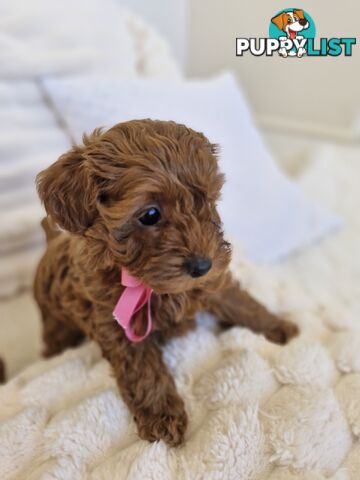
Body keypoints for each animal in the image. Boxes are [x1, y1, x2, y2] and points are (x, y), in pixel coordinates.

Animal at [33, 119, 298, 446]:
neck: (146, 282)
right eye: (150, 214)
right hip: (55, 322)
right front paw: (162, 417)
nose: (202, 265)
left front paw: (279, 326)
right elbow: (144, 372)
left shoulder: (211, 282)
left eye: (207, 201)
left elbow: (241, 303)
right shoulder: (117, 326)